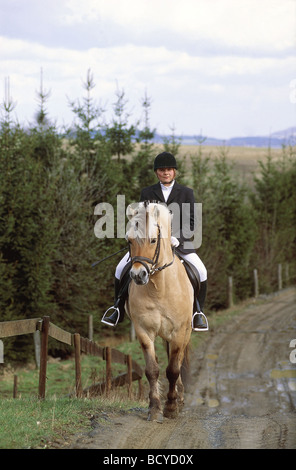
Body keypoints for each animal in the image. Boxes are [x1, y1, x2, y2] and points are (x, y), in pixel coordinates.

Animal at [124, 200, 192, 420]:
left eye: (154, 240)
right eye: (129, 241)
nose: (138, 275)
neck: (158, 289)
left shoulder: (178, 332)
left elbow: (172, 370)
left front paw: (171, 407)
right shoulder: (143, 331)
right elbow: (152, 370)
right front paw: (154, 407)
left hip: (185, 332)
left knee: (178, 361)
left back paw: (179, 397)